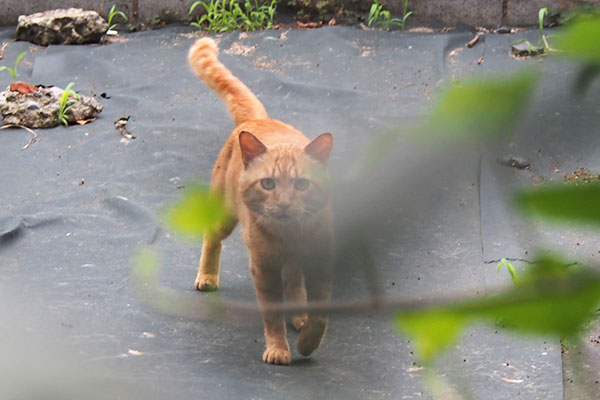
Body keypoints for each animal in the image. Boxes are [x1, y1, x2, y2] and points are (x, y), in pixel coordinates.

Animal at [189, 38, 332, 366]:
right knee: (211, 238)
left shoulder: (320, 265)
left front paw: (307, 341)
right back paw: (207, 276)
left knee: (294, 280)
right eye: (268, 183)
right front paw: (279, 348)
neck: (290, 236)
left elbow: (320, 316)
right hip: (224, 214)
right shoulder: (264, 270)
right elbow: (272, 316)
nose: (283, 204)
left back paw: (299, 316)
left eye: (301, 184)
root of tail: (258, 119)